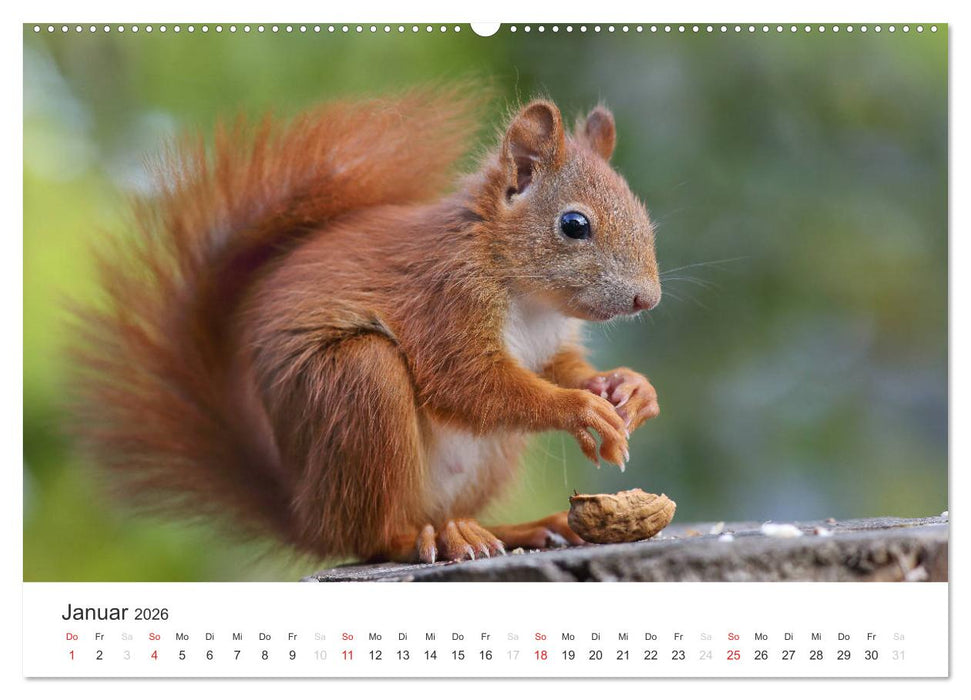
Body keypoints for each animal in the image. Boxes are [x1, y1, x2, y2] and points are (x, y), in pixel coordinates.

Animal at [73, 87, 662, 564]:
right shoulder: (444, 301)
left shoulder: (547, 344)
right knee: (369, 536)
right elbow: (467, 383)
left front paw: (629, 389)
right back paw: (425, 539)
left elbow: (562, 367)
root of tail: (308, 513)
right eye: (574, 225)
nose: (647, 298)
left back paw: (512, 529)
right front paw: (581, 409)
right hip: (357, 387)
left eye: (643, 214)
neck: (527, 294)